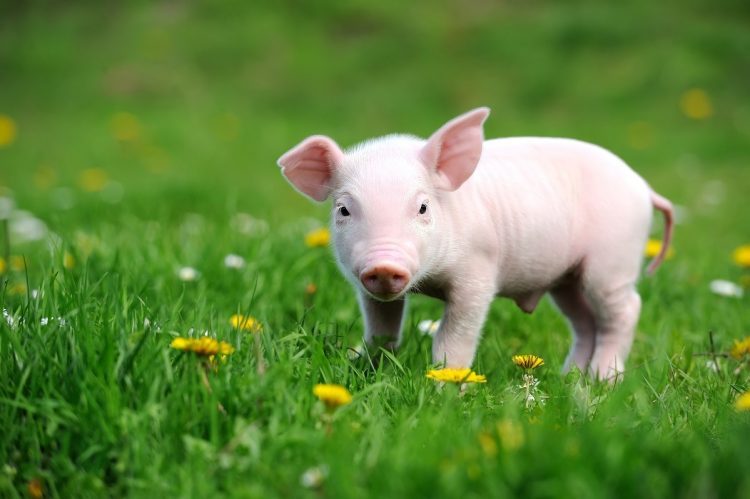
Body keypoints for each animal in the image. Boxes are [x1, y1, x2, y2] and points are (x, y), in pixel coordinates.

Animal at [277, 108, 673, 379]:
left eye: (422, 207)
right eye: (343, 209)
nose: (384, 265)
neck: (429, 281)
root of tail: (644, 187)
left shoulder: (478, 274)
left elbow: (453, 338)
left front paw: (446, 387)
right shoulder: (369, 290)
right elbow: (381, 330)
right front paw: (362, 368)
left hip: (613, 260)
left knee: (625, 310)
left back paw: (603, 380)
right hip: (567, 279)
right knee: (585, 322)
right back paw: (568, 379)